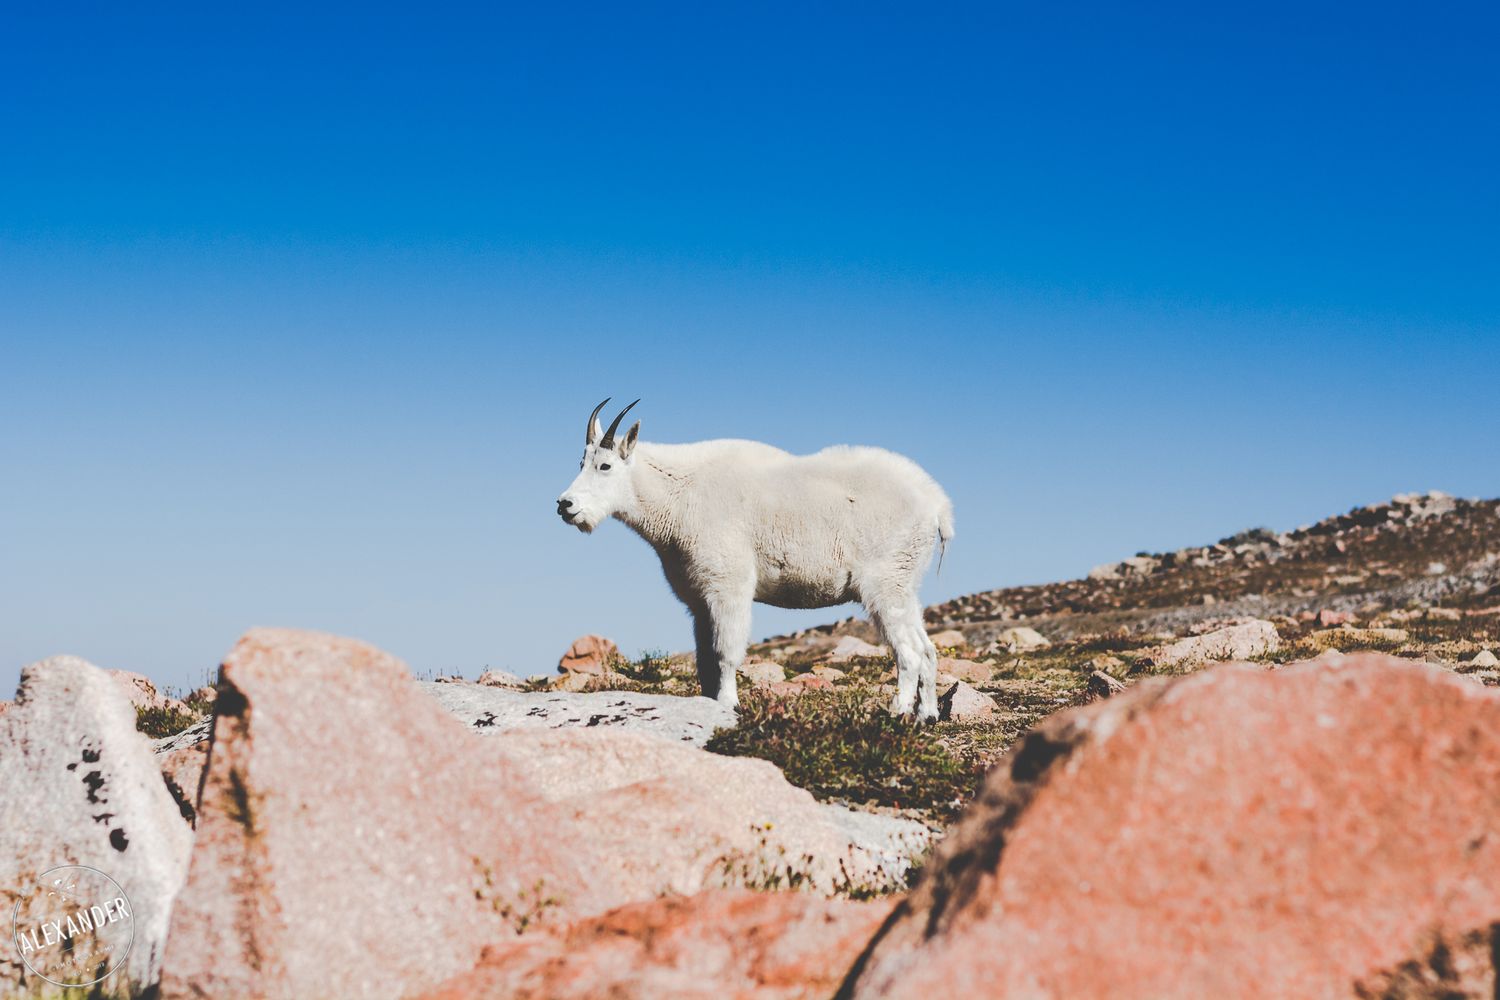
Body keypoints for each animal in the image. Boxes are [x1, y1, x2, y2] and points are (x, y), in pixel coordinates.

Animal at [556, 399, 954, 720]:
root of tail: (937, 505)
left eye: (605, 466)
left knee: (909, 652)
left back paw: (898, 711)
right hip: (905, 584)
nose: (565, 505)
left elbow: (726, 652)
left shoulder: (728, 586)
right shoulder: (698, 599)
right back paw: (928, 715)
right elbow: (704, 660)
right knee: (928, 649)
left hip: (883, 584)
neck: (676, 495)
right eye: (581, 462)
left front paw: (729, 704)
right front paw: (708, 704)